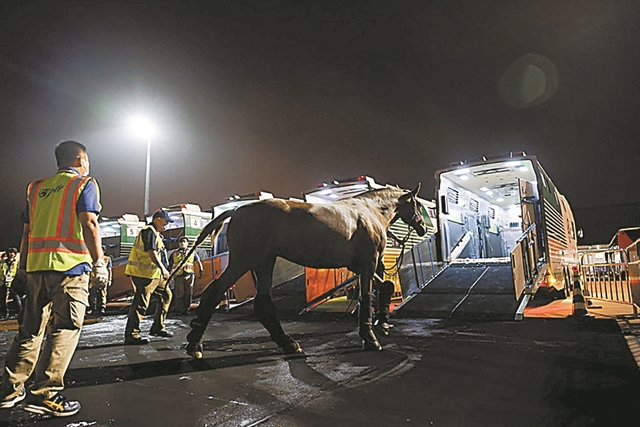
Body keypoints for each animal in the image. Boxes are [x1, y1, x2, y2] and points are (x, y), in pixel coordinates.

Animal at [172, 184, 428, 358]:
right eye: (417, 205)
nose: (423, 228)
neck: (369, 211)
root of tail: (235, 212)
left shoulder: (359, 266)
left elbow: (386, 287)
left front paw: (383, 322)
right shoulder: (368, 263)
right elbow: (367, 297)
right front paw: (370, 338)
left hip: (263, 262)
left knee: (262, 303)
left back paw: (288, 343)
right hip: (244, 261)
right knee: (215, 291)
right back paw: (194, 344)